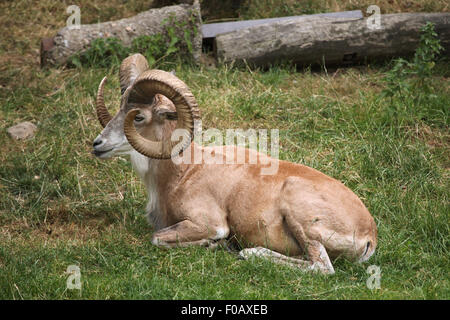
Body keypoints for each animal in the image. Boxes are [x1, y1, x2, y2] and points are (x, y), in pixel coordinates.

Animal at [91, 53, 376, 274]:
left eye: (138, 117)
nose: (97, 144)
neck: (184, 173)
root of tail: (369, 236)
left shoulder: (208, 223)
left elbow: (157, 238)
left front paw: (215, 245)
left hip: (303, 222)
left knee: (321, 267)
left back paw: (249, 252)